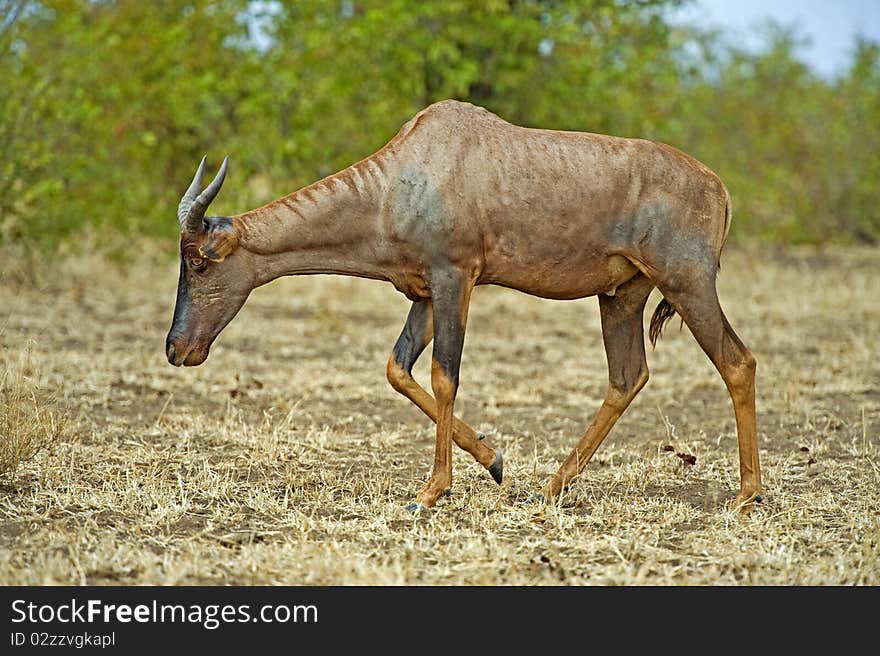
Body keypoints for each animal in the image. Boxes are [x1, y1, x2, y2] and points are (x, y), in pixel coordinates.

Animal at [167, 98, 764, 512]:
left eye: (199, 261)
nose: (177, 349)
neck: (407, 173)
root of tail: (719, 187)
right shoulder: (426, 293)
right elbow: (398, 369)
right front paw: (495, 462)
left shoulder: (456, 278)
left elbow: (443, 375)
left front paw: (429, 494)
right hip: (622, 295)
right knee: (627, 376)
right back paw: (548, 490)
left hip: (688, 284)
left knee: (737, 362)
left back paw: (745, 497)